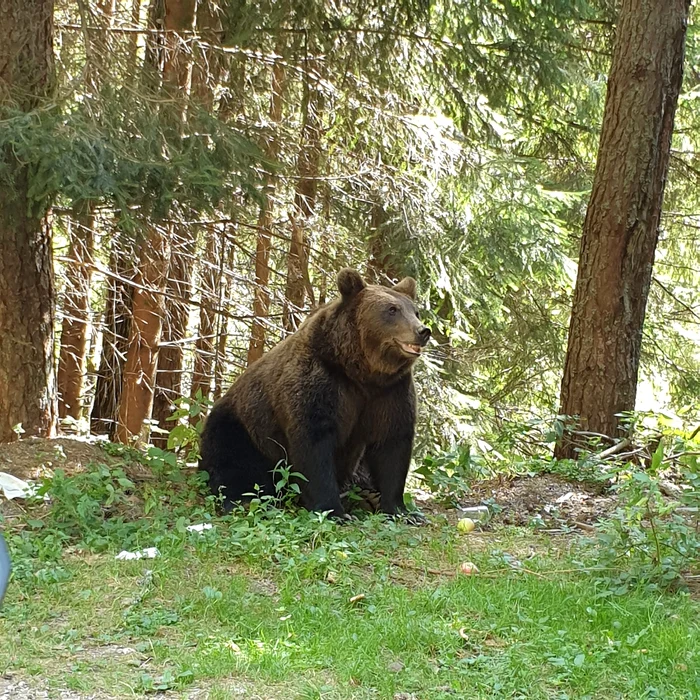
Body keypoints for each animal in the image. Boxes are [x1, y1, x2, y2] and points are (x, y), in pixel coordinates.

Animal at [198, 268, 432, 520]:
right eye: (392, 310)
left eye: (415, 311)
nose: (423, 330)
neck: (362, 372)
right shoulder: (321, 380)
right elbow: (314, 443)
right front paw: (334, 510)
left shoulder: (390, 392)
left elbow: (392, 443)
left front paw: (402, 510)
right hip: (242, 427)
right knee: (235, 464)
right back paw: (243, 499)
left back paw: (367, 494)